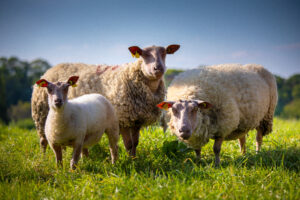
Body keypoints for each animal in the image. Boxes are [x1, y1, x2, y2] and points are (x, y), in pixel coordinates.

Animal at [31, 44, 179, 156]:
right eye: (143, 54)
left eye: (165, 53)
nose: (158, 68)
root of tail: (51, 68)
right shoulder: (122, 118)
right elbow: (128, 144)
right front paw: (130, 161)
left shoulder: (136, 119)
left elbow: (135, 143)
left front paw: (134, 158)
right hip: (42, 115)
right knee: (43, 140)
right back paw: (43, 158)